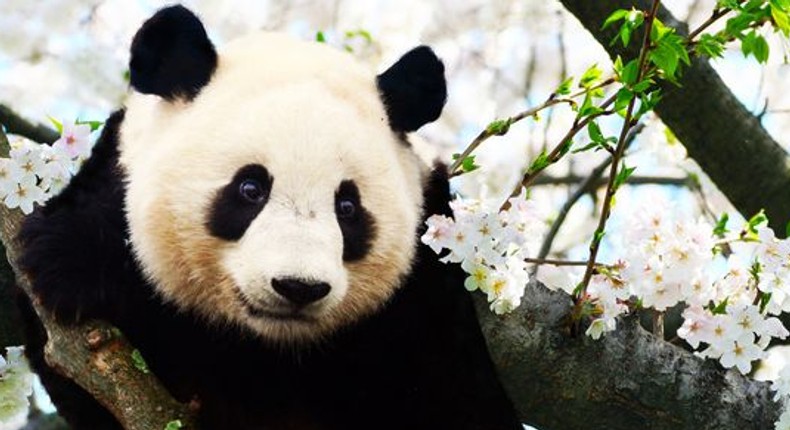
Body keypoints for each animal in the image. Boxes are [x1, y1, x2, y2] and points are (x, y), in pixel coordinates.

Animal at [17, 5, 522, 430]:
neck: (270, 348)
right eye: (250, 189)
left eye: (348, 207)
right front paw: (71, 266)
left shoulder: (425, 294)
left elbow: (461, 395)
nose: (299, 287)